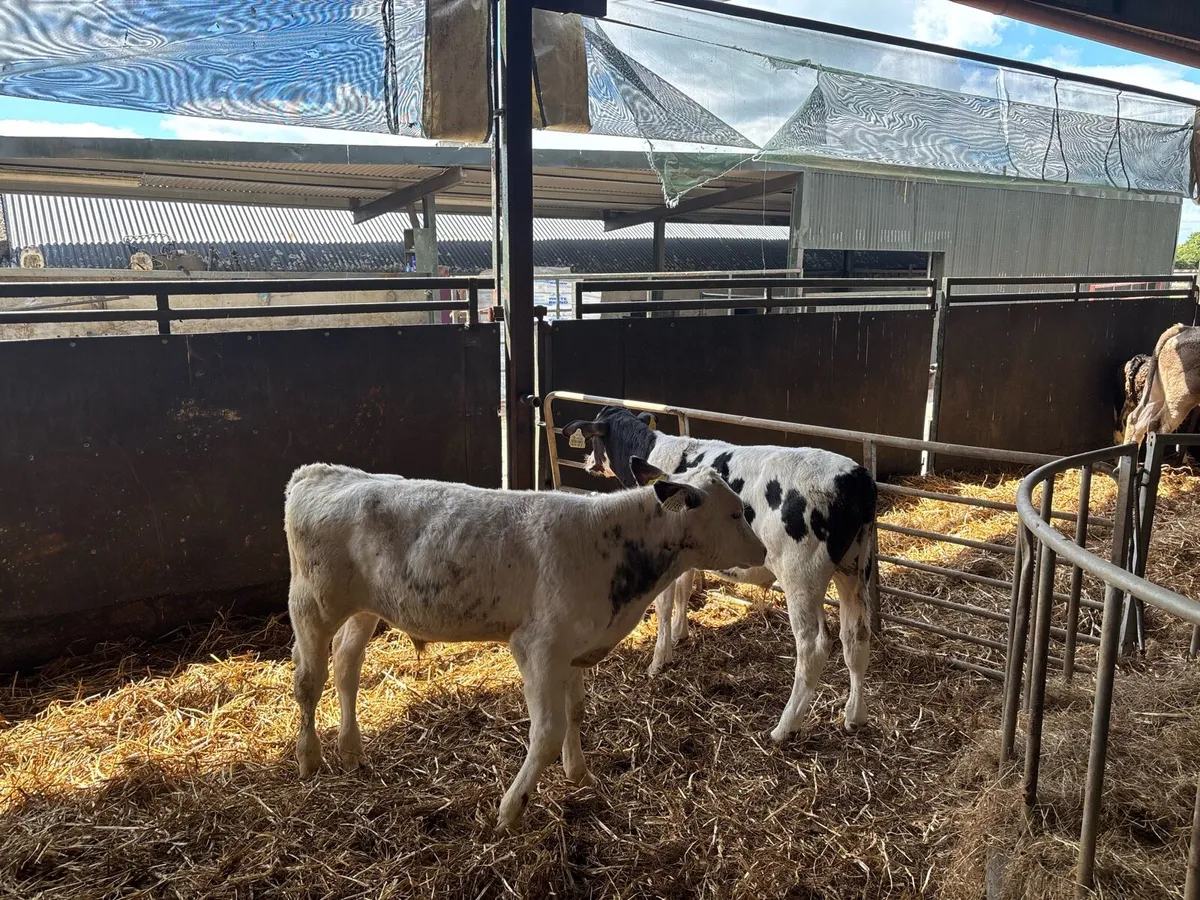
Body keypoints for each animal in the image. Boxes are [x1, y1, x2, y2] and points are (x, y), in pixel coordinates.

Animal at [283, 459, 766, 832]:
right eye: (736, 513)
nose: (762, 550)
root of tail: (319, 472)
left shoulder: (573, 648)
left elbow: (576, 713)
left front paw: (579, 773)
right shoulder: (539, 647)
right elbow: (547, 733)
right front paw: (511, 809)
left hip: (364, 609)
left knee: (346, 666)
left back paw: (351, 751)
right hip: (311, 605)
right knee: (308, 680)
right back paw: (309, 758)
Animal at [562, 406, 878, 745]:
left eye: (594, 439)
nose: (587, 462)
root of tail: (856, 478)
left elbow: (663, 604)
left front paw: (659, 660)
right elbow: (685, 588)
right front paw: (680, 633)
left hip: (801, 577)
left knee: (814, 647)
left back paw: (784, 727)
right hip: (854, 567)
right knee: (856, 636)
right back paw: (855, 717)